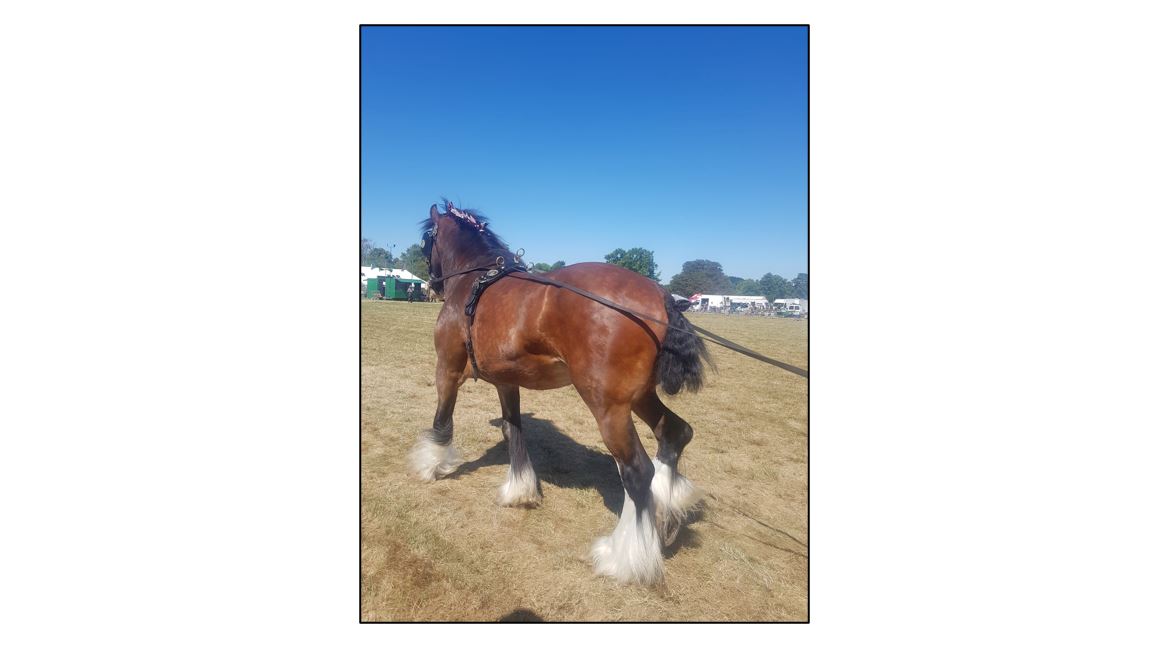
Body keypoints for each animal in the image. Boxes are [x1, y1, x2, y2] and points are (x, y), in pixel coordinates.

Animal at [408, 202, 711, 584]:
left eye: (425, 240)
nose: (430, 284)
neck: (475, 281)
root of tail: (661, 297)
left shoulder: (447, 369)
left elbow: (442, 421)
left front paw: (430, 465)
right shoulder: (507, 381)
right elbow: (513, 430)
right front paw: (520, 491)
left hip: (607, 405)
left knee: (638, 472)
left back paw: (623, 559)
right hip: (640, 396)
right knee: (674, 433)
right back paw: (667, 512)